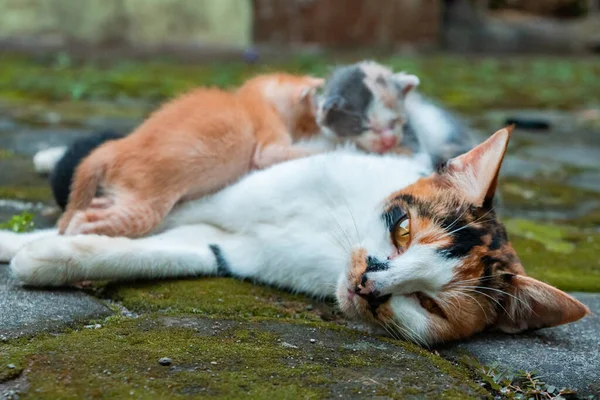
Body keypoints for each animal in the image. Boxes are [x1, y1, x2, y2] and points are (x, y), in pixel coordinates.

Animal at [0, 126, 588, 346]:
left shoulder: (231, 250)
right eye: (402, 230)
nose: (368, 284)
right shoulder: (219, 198)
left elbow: (151, 253)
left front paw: (44, 257)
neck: (329, 238)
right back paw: (51, 156)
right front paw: (20, 240)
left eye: (430, 304)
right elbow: (134, 218)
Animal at [56, 73, 326, 238]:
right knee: (82, 220)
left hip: (123, 194)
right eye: (315, 110)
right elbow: (288, 153)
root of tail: (116, 147)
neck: (249, 99)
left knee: (93, 205)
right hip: (146, 206)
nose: (319, 124)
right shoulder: (267, 144)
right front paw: (330, 147)